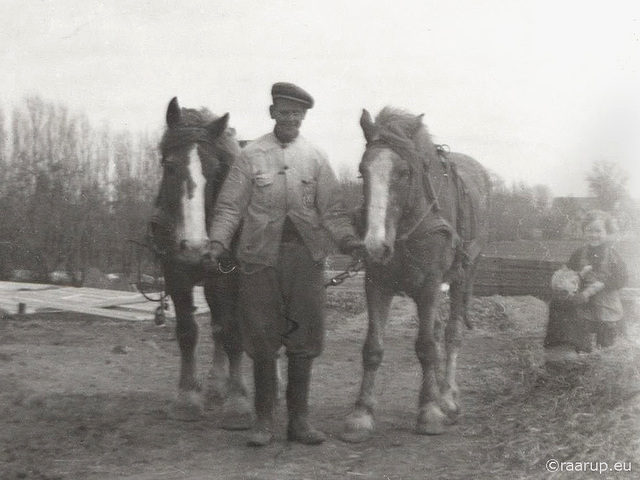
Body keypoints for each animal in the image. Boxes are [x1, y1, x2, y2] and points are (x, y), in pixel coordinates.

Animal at [150, 96, 252, 428]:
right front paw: (187, 398)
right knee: (217, 325)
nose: (195, 249)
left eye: (216, 170)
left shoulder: (230, 277)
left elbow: (233, 333)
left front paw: (238, 403)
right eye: (169, 166)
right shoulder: (175, 273)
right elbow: (188, 332)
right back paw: (217, 386)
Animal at [342, 108, 492, 442]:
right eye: (362, 170)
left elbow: (426, 346)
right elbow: (373, 348)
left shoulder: (430, 286)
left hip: (464, 278)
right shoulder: (376, 284)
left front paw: (430, 411)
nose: (374, 245)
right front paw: (361, 414)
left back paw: (447, 398)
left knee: (450, 336)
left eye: (403, 172)